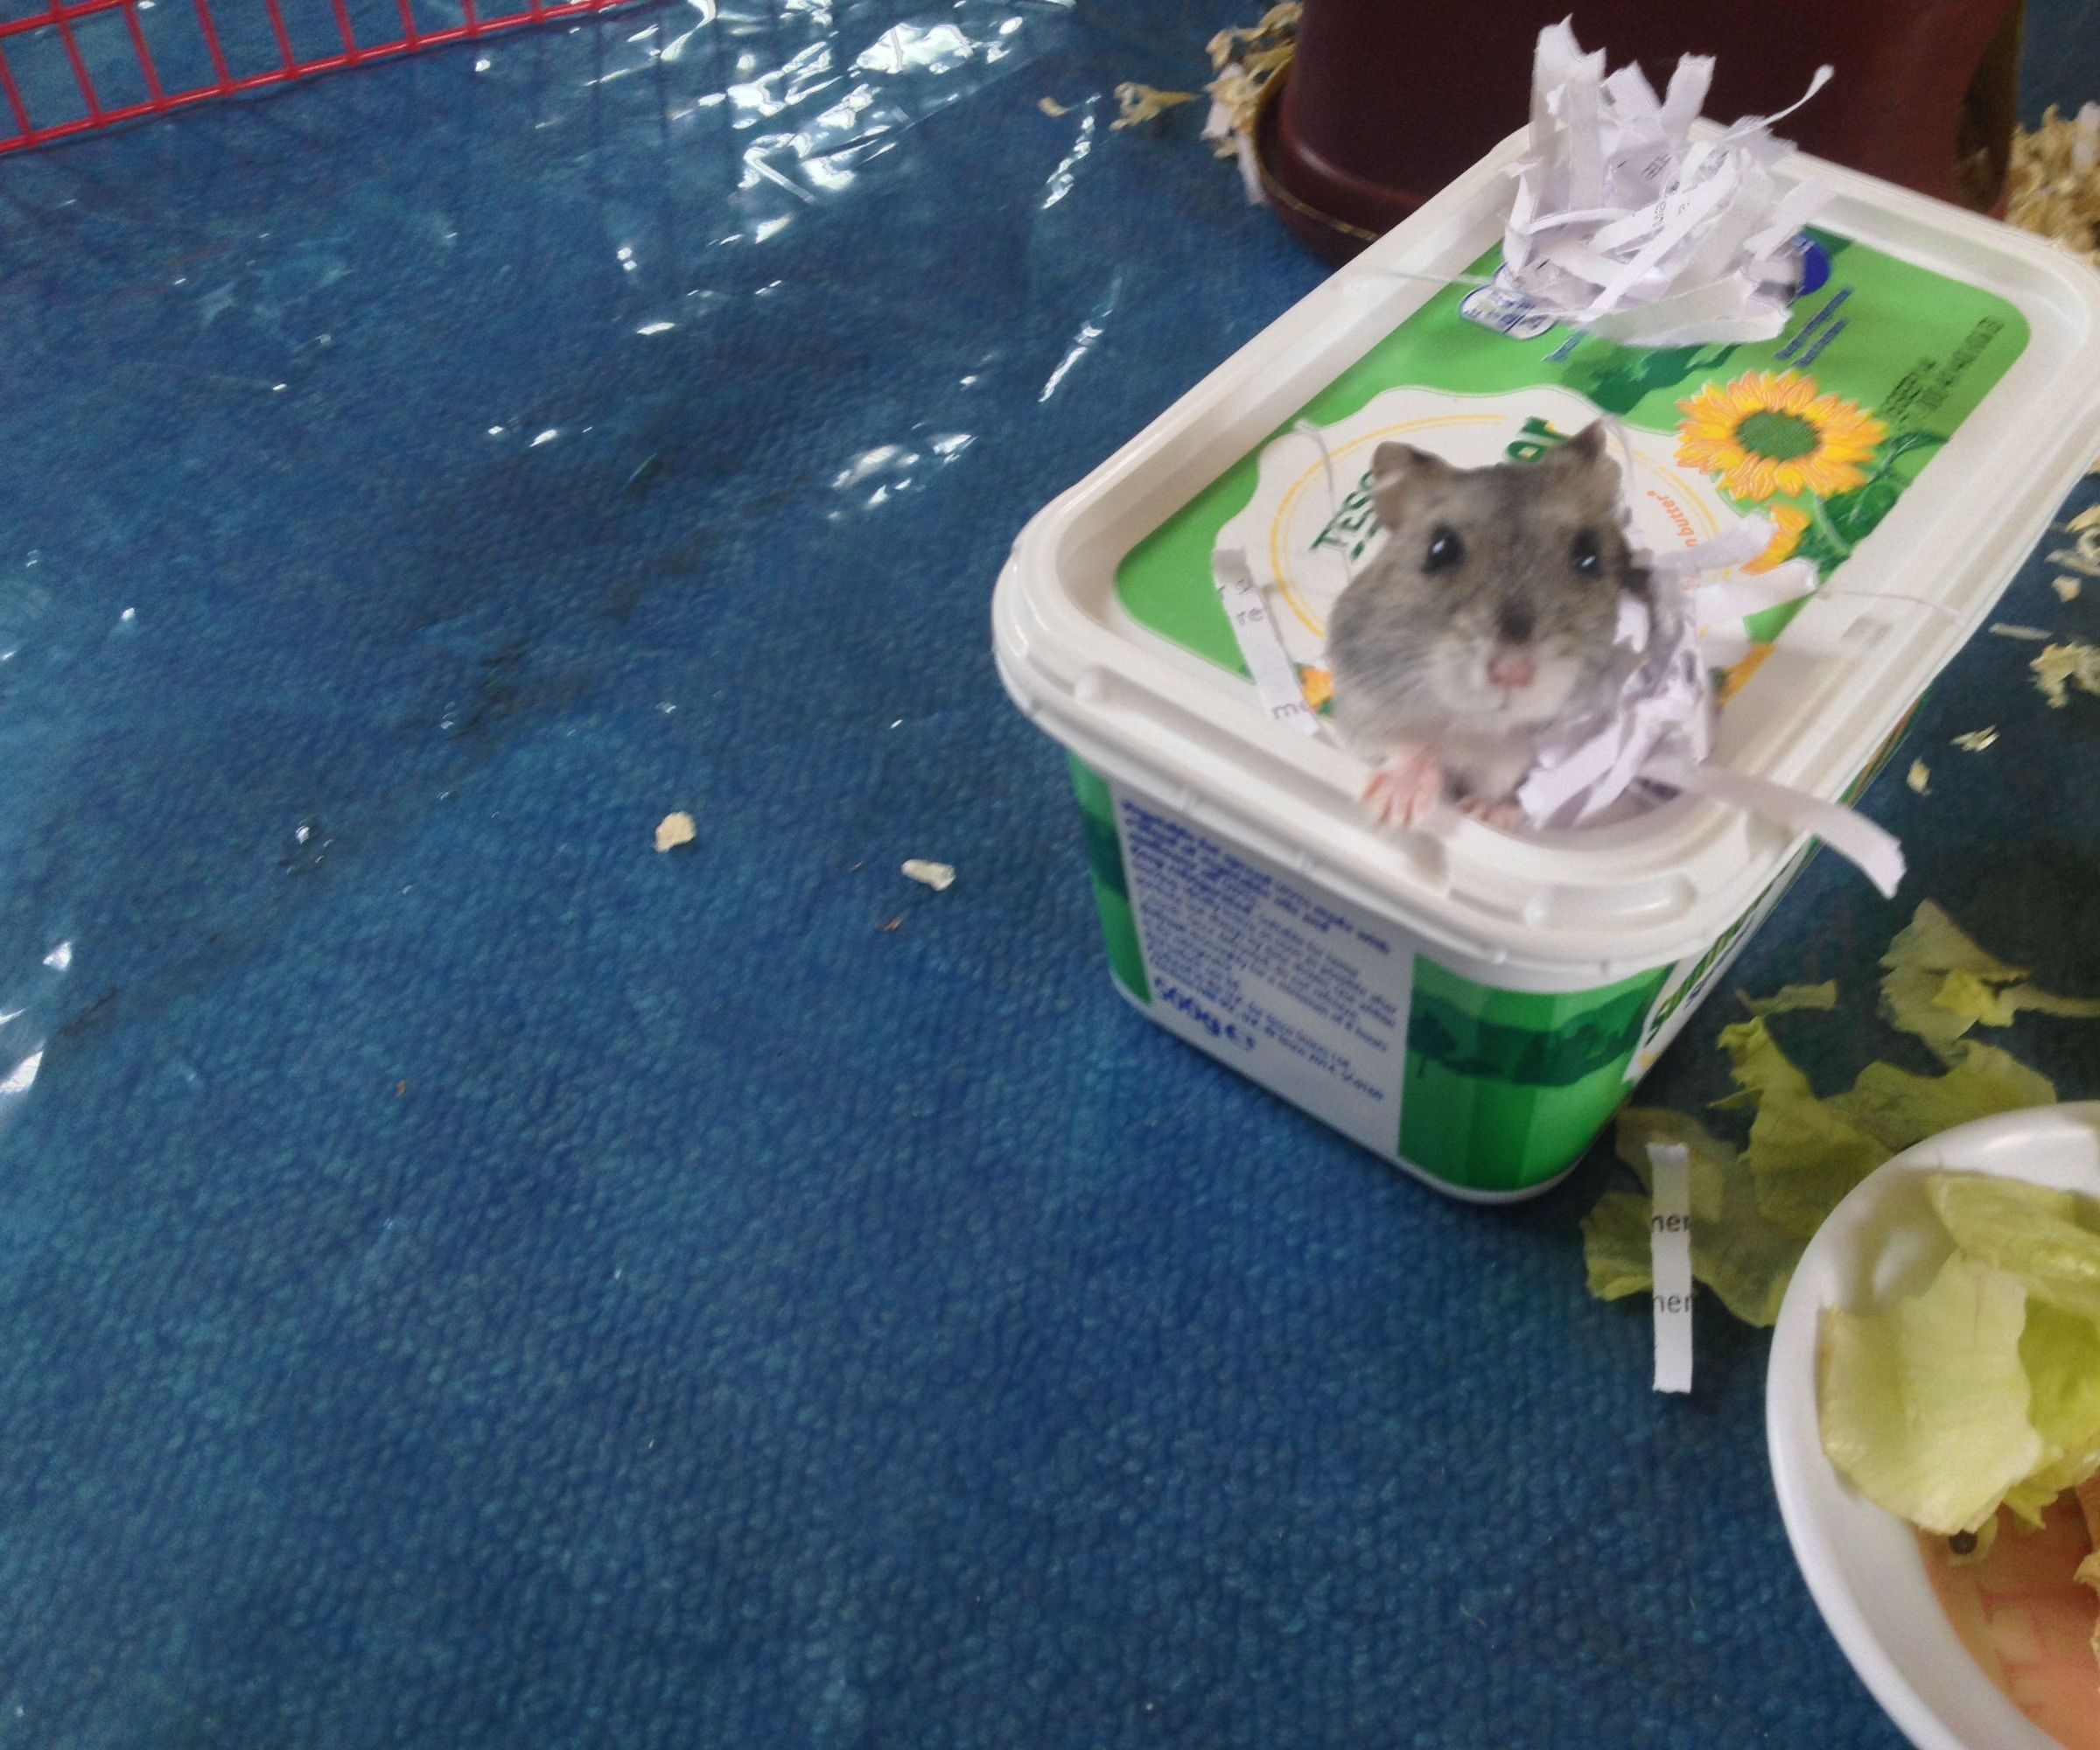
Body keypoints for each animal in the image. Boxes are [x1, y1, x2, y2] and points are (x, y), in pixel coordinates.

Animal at [1325, 421, 1648, 831]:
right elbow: (1402, 744)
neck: (1478, 729)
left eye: (1589, 556)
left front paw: (1485, 813)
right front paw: (1393, 809)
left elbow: (1515, 788)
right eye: (1440, 549)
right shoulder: (1361, 704)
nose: (1511, 671)